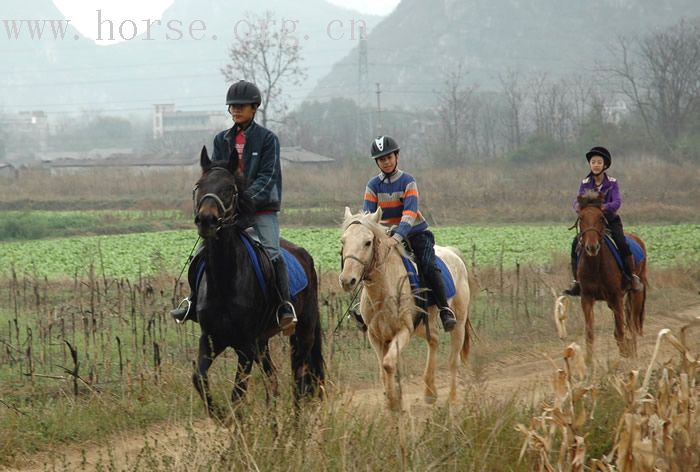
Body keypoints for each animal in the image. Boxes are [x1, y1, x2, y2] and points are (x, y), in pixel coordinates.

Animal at [190, 146, 324, 414]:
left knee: (298, 384)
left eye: (229, 188)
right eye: (200, 185)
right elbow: (199, 379)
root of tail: (305, 255)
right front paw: (219, 415)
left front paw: (233, 421)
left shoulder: (245, 347)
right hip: (263, 343)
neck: (224, 282)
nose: (207, 220)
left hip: (302, 334)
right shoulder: (211, 339)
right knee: (273, 384)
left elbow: (237, 395)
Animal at [338, 208, 470, 412]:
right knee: (434, 340)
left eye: (368, 242)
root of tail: (453, 253)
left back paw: (453, 401)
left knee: (453, 360)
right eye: (343, 241)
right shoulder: (376, 336)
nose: (347, 280)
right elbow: (383, 369)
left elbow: (388, 364)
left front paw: (394, 403)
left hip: (458, 323)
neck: (383, 292)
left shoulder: (404, 331)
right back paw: (430, 393)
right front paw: (392, 402)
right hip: (423, 325)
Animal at [576, 191, 648, 358]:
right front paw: (588, 362)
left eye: (601, 218)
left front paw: (625, 355)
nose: (592, 247)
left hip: (635, 294)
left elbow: (621, 331)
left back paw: (633, 354)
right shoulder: (586, 297)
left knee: (632, 324)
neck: (595, 266)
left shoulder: (616, 296)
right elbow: (589, 334)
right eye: (581, 218)